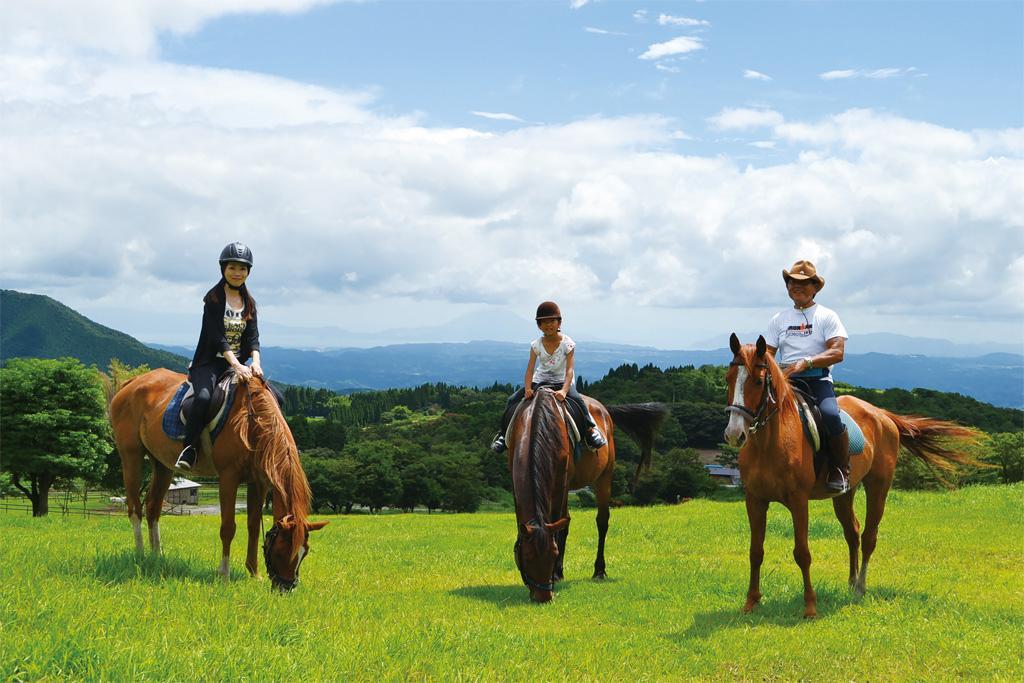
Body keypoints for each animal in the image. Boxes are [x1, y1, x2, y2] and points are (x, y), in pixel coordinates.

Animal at [108, 370, 325, 589]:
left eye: (304, 553)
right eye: (281, 551)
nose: (286, 588)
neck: (251, 423)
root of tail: (133, 382)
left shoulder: (259, 482)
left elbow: (253, 526)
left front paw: (254, 573)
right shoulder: (228, 476)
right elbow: (228, 528)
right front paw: (224, 574)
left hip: (162, 464)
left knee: (153, 507)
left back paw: (156, 555)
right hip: (131, 456)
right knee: (135, 509)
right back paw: (141, 554)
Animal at [507, 387, 667, 602]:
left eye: (553, 553)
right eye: (527, 556)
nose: (544, 597)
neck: (537, 422)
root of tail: (604, 409)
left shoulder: (562, 482)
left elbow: (558, 525)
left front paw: (555, 572)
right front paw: (556, 573)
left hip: (605, 476)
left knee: (602, 521)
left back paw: (599, 570)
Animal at [724, 333, 978, 618]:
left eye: (758, 381)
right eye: (728, 379)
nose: (734, 434)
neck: (769, 444)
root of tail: (883, 415)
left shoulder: (799, 501)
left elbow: (802, 552)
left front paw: (810, 606)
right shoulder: (755, 500)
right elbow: (755, 551)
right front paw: (751, 602)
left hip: (878, 487)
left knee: (868, 537)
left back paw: (860, 588)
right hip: (844, 494)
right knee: (852, 532)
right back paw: (851, 580)